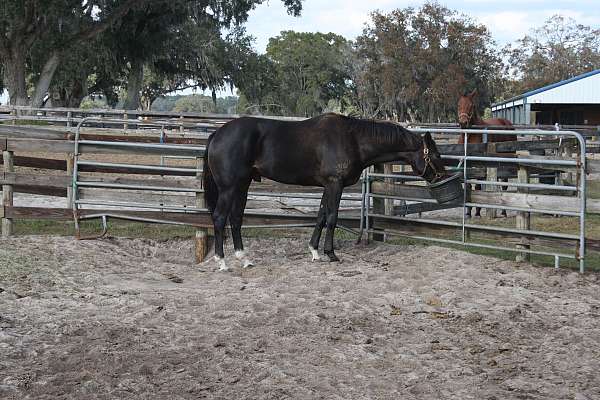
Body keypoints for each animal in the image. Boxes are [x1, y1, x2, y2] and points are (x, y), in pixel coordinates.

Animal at [204, 112, 448, 270]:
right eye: (436, 155)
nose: (442, 176)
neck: (353, 139)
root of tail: (217, 134)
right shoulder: (335, 184)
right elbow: (332, 217)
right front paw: (330, 254)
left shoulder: (326, 186)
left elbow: (321, 216)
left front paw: (314, 251)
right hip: (228, 188)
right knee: (219, 218)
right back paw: (222, 261)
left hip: (242, 186)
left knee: (236, 218)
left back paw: (244, 259)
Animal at [458, 89, 512, 217]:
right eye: (458, 105)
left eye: (471, 106)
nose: (463, 123)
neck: (469, 136)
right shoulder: (466, 163)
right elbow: (468, 185)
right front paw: (468, 212)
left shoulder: (479, 163)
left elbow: (478, 186)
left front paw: (477, 211)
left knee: (504, 184)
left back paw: (503, 211)